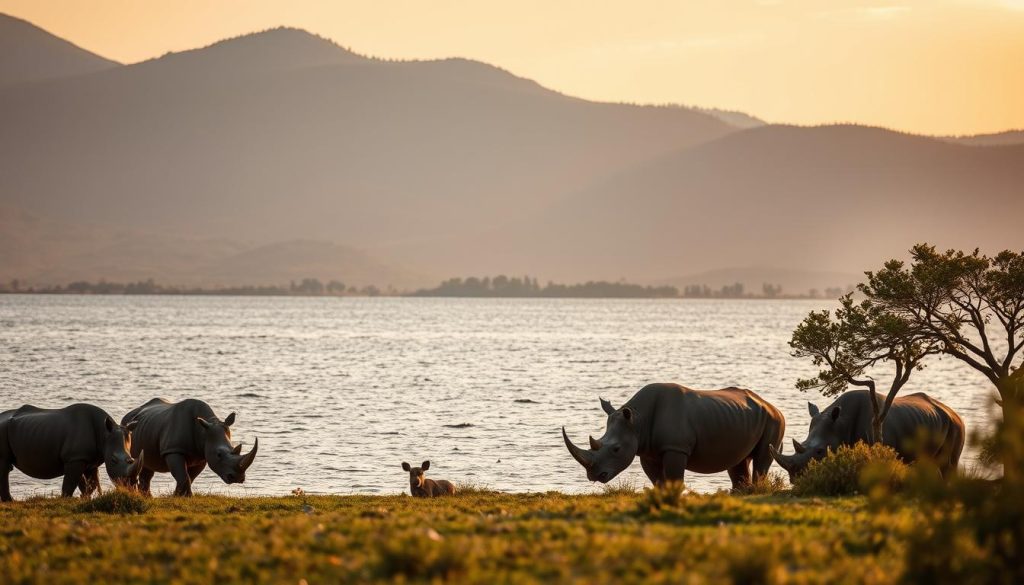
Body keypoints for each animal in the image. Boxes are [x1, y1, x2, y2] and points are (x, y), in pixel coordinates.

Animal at [0, 404, 144, 502]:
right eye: (113, 460)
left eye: (131, 460)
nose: (130, 486)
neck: (104, 433)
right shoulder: (75, 458)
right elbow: (71, 482)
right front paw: (65, 500)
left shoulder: (89, 460)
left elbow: (90, 484)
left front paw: (84, 498)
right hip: (3, 428)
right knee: (4, 465)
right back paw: (11, 501)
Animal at [121, 398, 257, 496]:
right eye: (219, 455)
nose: (237, 478)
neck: (204, 431)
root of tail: (129, 414)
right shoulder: (173, 450)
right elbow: (183, 475)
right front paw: (185, 497)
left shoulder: (201, 456)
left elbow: (189, 477)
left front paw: (178, 496)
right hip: (127, 426)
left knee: (148, 466)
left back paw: (147, 497)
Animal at [562, 383, 786, 488]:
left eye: (616, 449)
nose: (594, 476)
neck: (637, 420)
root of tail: (772, 405)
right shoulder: (648, 451)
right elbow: (657, 480)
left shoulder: (675, 448)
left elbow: (674, 477)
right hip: (741, 417)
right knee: (738, 460)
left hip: (774, 420)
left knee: (762, 458)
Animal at [769, 390, 965, 479]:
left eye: (819, 451)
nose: (795, 478)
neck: (840, 423)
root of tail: (954, 413)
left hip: (956, 426)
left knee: (949, 464)